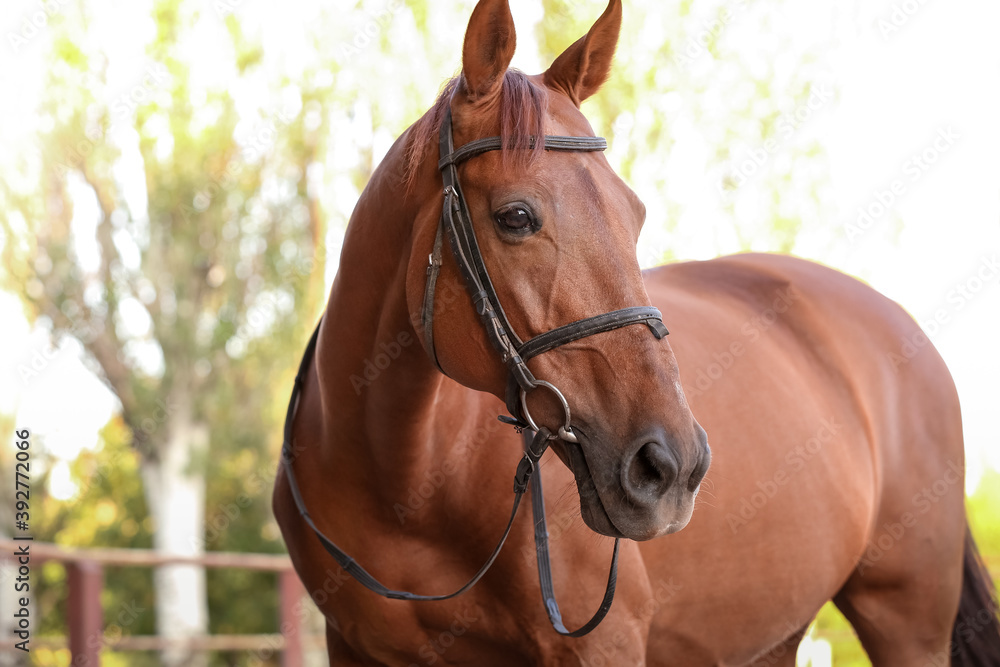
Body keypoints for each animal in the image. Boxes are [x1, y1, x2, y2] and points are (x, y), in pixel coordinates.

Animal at [273, 1, 1000, 664]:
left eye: (636, 213)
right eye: (515, 216)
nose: (673, 466)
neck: (405, 479)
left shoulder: (605, 642)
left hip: (905, 619)